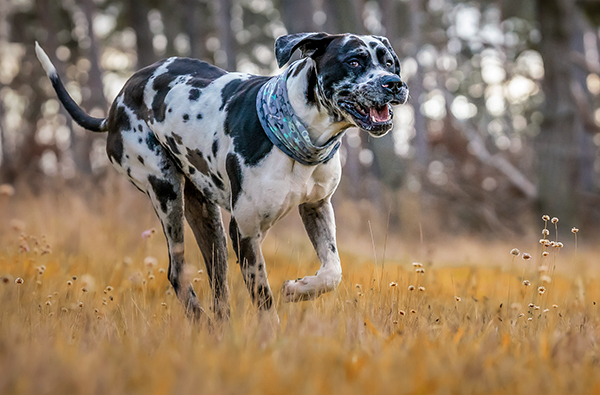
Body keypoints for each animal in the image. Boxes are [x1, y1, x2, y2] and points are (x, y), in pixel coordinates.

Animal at [35, 32, 410, 324]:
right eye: (355, 61)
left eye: (391, 63)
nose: (394, 84)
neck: (298, 132)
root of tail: (116, 102)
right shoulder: (244, 232)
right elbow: (263, 299)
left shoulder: (317, 207)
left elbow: (333, 271)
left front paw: (299, 290)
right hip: (167, 193)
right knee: (177, 272)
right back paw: (200, 322)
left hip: (207, 219)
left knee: (219, 288)